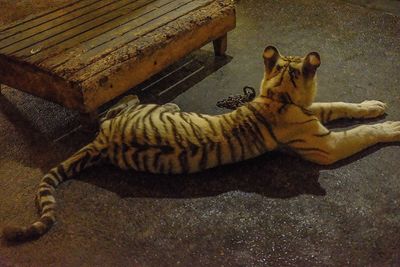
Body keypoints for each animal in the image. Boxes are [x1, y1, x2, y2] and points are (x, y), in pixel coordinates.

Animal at [3, 45, 400, 243]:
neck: (280, 95)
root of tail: (102, 142)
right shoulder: (325, 146)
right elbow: (362, 133)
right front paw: (393, 126)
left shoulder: (315, 113)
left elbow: (342, 105)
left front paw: (374, 106)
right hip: (154, 110)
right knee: (122, 106)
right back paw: (133, 93)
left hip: (127, 119)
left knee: (112, 111)